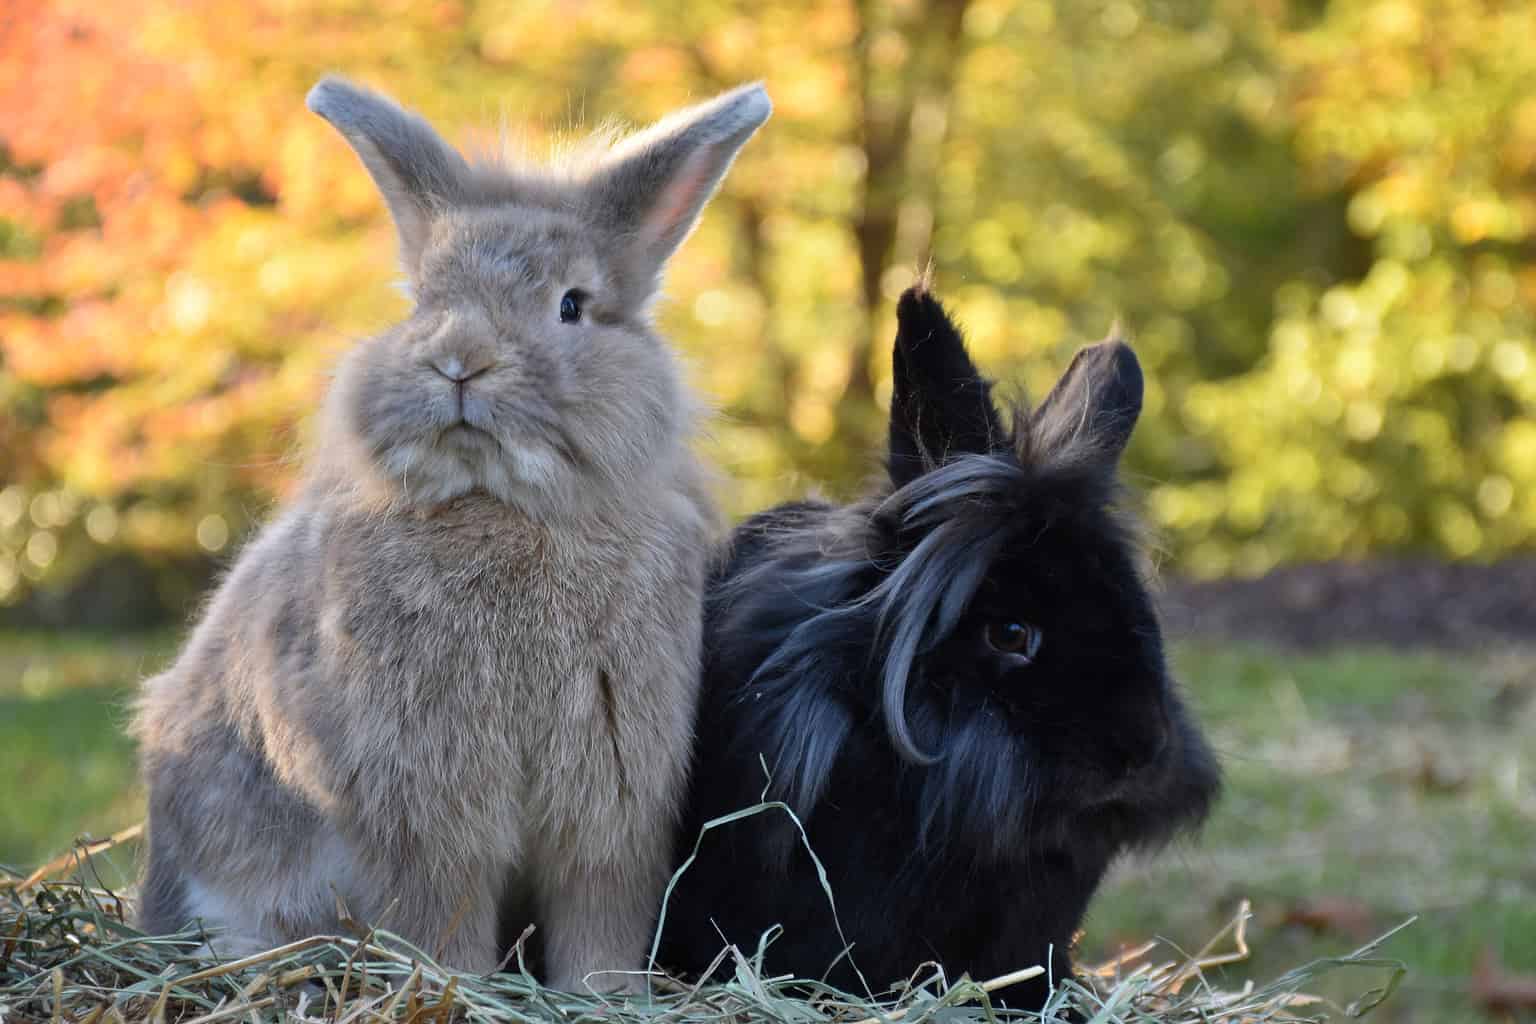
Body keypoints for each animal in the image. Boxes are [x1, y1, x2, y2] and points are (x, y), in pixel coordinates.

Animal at [130, 75, 768, 988]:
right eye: (424, 303)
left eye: (571, 305)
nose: (459, 361)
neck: (503, 507)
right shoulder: (428, 811)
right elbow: (446, 913)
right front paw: (454, 990)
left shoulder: (612, 802)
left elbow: (598, 916)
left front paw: (604, 993)